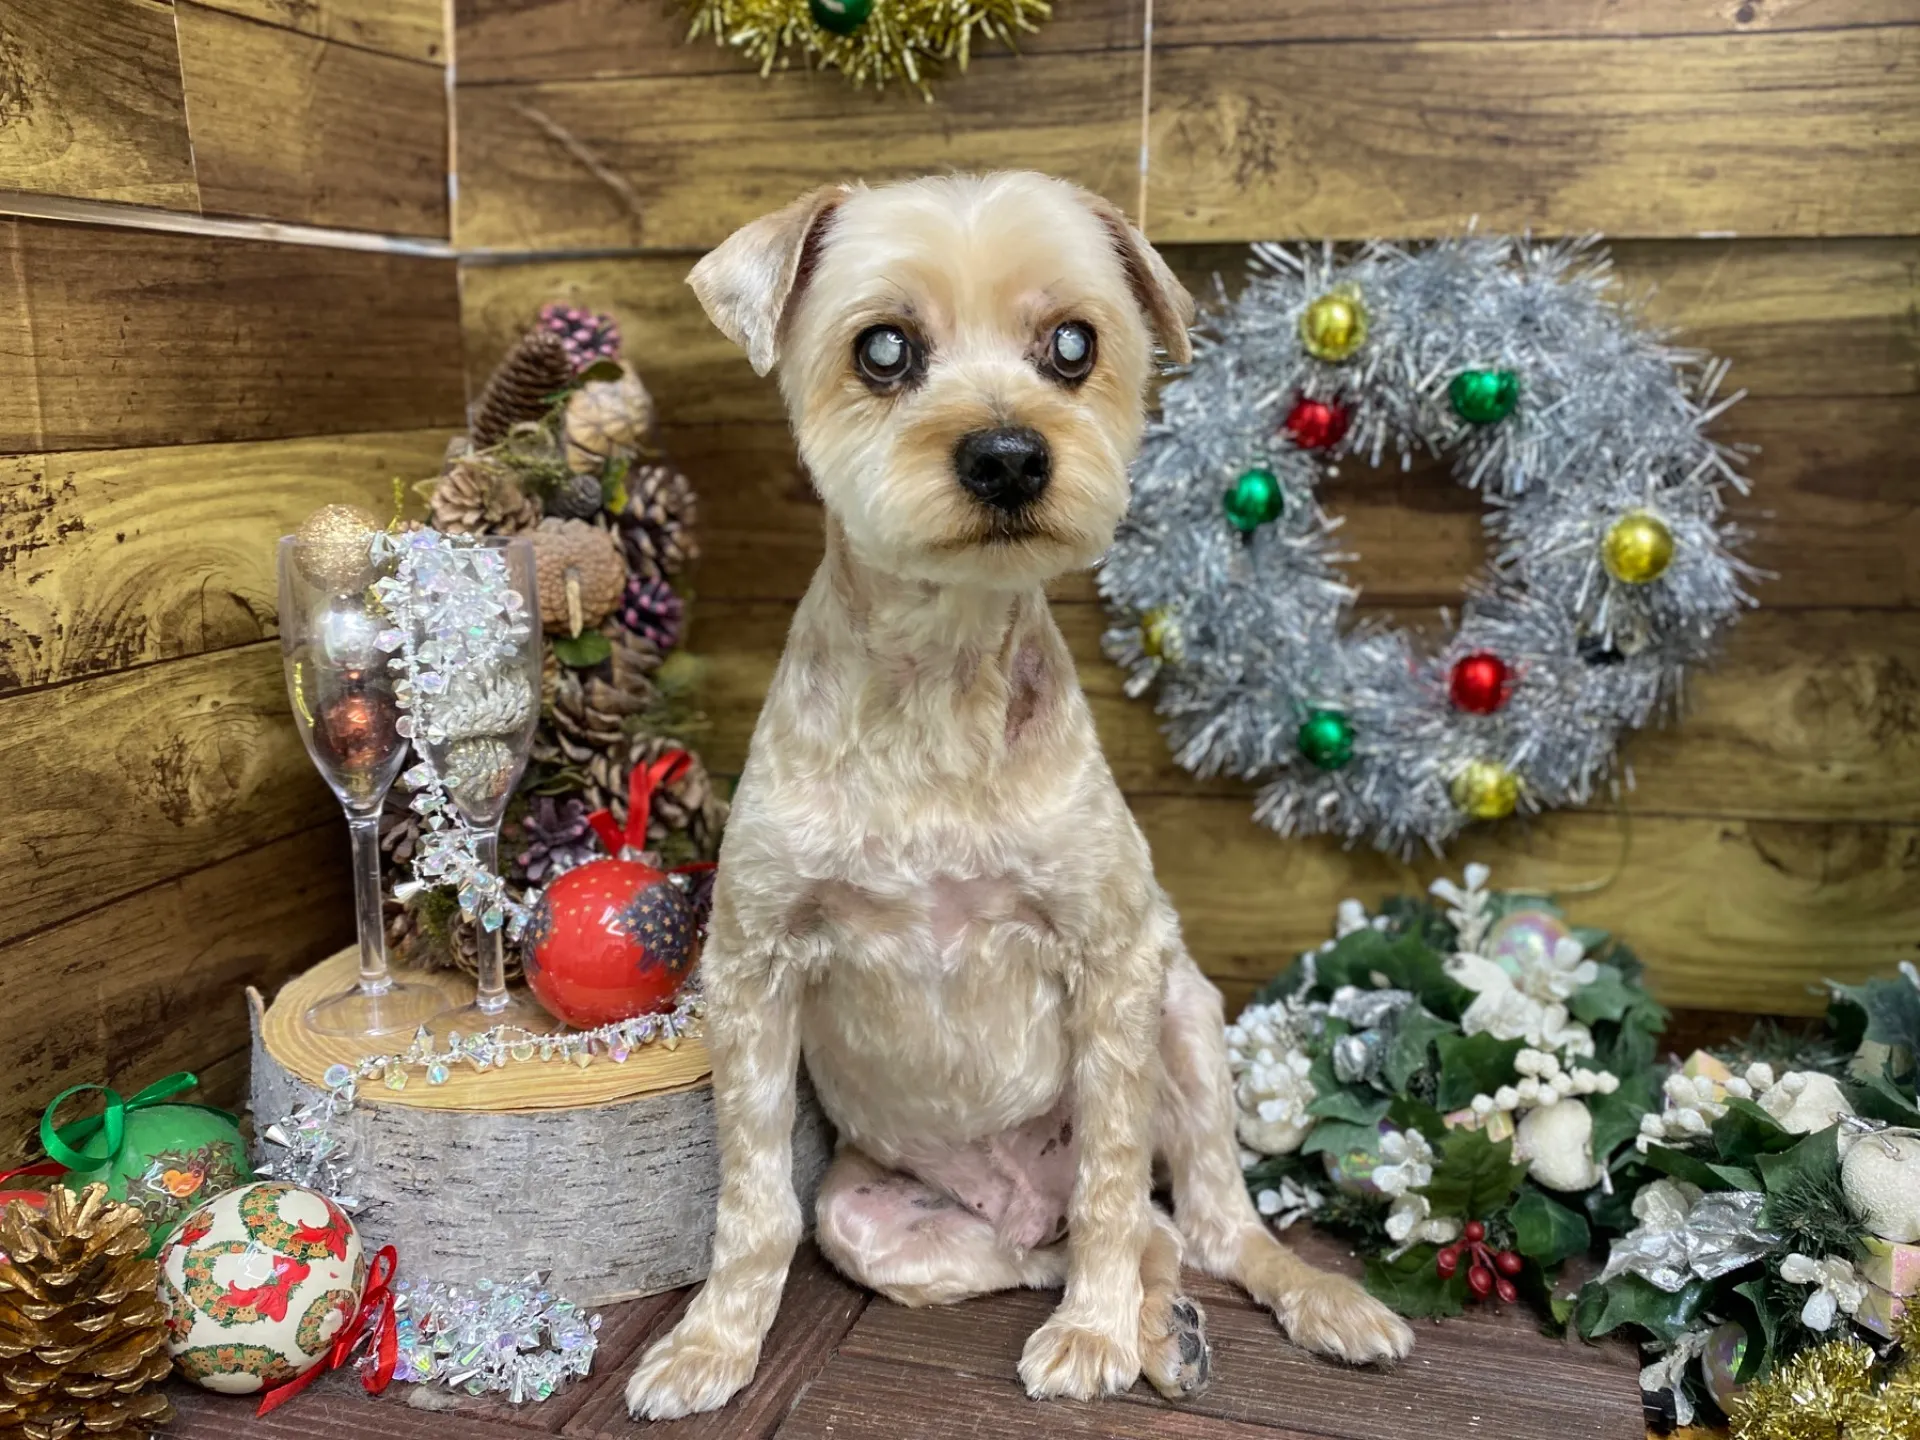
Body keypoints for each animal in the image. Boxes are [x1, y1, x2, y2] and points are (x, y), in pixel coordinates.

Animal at [626, 172, 1414, 1420]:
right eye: (884, 348)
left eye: (1074, 345)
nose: (1006, 456)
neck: (938, 686)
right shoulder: (751, 972)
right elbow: (752, 1203)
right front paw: (710, 1346)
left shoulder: (1114, 959)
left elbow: (1109, 1180)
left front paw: (1089, 1337)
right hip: (879, 1222)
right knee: (1096, 1245)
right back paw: (1160, 1330)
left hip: (1188, 1022)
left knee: (1198, 1223)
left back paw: (1294, 1307)